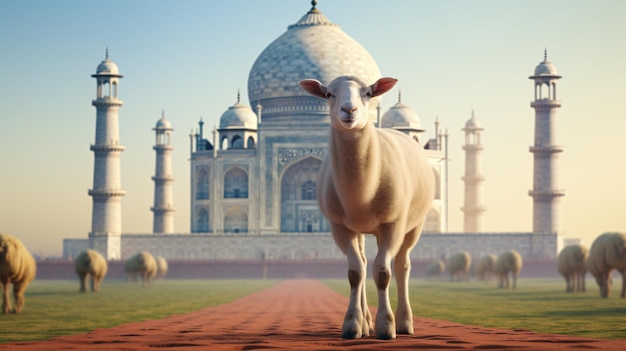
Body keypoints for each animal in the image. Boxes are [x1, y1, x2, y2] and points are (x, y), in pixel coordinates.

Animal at [298, 75, 434, 340]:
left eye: (368, 93)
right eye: (328, 94)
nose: (349, 110)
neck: (361, 195)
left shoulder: (393, 222)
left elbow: (382, 272)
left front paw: (386, 326)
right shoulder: (340, 226)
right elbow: (355, 272)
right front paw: (352, 324)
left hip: (415, 223)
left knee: (402, 264)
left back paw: (404, 323)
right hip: (360, 228)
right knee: (362, 262)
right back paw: (365, 324)